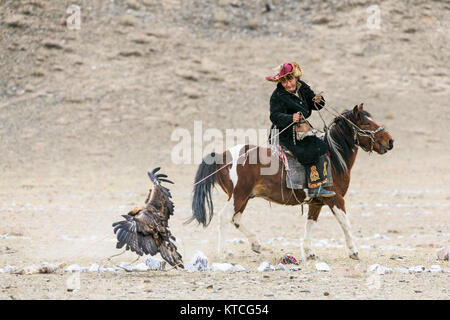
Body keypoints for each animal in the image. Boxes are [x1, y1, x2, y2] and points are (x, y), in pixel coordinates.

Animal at [186, 105, 394, 260]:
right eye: (366, 123)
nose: (390, 141)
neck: (333, 158)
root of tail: (222, 155)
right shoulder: (336, 199)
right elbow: (345, 223)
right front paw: (353, 251)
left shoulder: (317, 202)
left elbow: (310, 224)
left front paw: (309, 252)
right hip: (238, 195)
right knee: (224, 217)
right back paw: (224, 252)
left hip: (243, 197)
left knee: (235, 219)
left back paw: (255, 243)